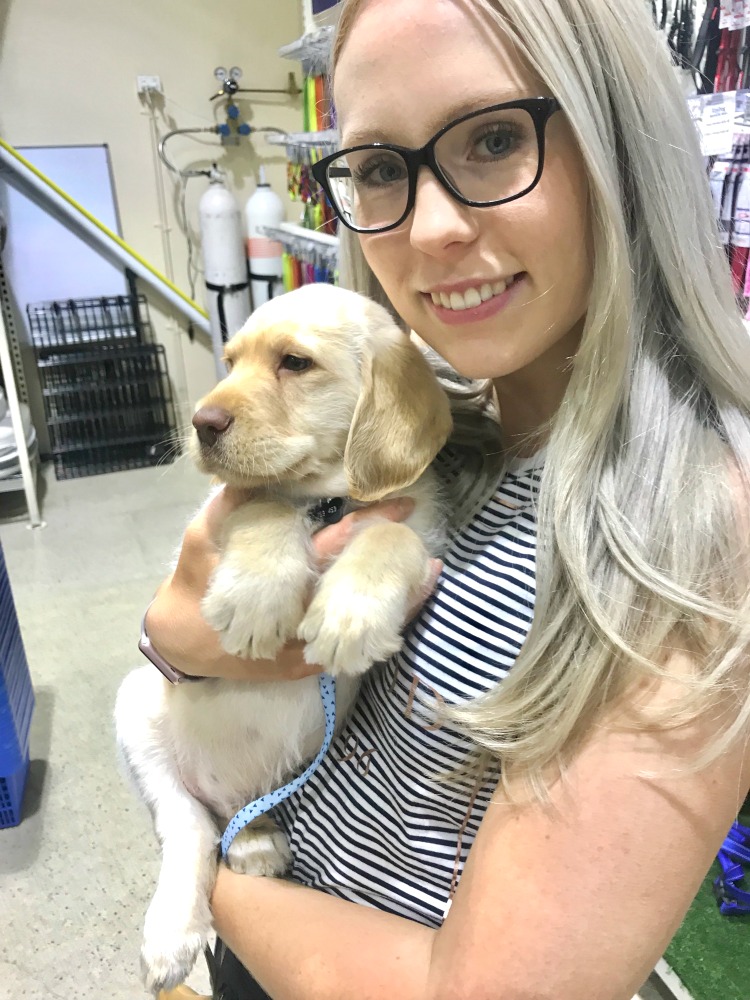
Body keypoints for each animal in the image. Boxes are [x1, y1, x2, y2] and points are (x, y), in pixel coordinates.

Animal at [114, 284, 450, 992]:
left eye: (295, 363)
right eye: (230, 361)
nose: (201, 423)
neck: (329, 503)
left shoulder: (425, 540)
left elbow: (389, 534)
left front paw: (350, 613)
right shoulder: (223, 518)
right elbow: (261, 502)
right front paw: (254, 594)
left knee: (230, 819)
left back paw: (255, 842)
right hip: (136, 709)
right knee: (186, 827)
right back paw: (171, 935)